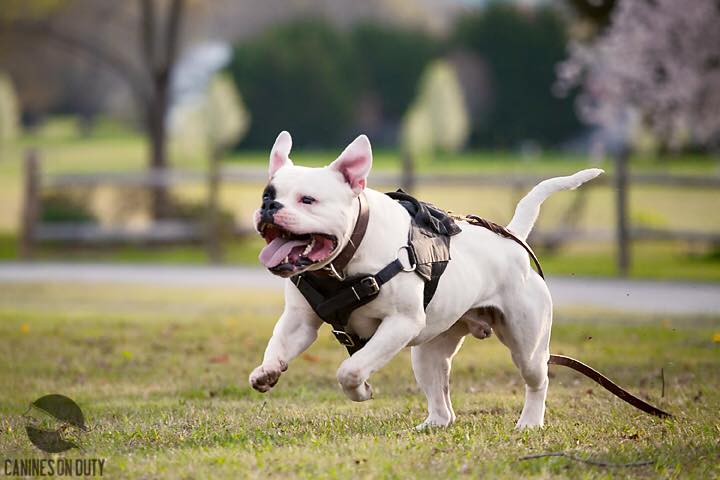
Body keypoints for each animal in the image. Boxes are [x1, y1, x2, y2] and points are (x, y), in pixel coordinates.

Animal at [249, 132, 600, 432]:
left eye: (308, 200)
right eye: (267, 194)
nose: (268, 206)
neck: (344, 262)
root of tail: (512, 238)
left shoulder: (400, 323)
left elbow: (350, 370)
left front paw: (361, 390)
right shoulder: (299, 322)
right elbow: (279, 346)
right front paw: (267, 372)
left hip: (527, 346)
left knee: (537, 380)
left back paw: (529, 422)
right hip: (428, 353)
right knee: (443, 404)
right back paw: (431, 425)